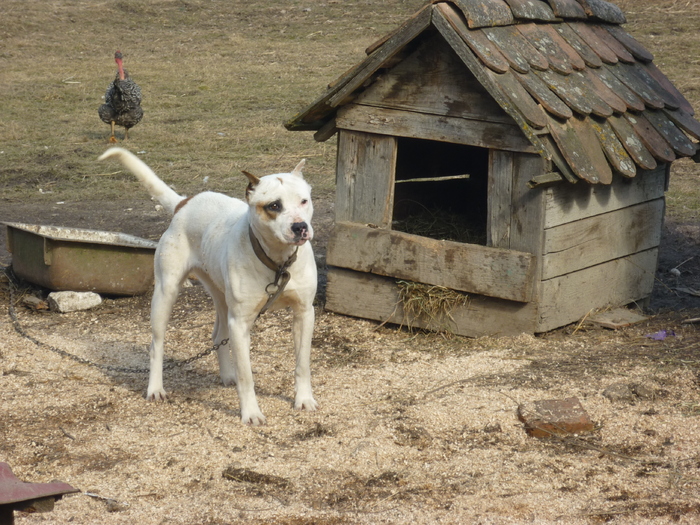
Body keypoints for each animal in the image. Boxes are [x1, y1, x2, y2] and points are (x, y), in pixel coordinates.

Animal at [98, 147, 318, 426]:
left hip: (221, 298)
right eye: (274, 206)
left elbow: (303, 364)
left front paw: (304, 399)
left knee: (217, 335)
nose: (300, 227)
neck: (278, 262)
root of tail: (184, 202)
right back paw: (155, 388)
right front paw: (251, 412)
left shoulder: (304, 314)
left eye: (304, 201)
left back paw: (226, 376)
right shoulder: (241, 323)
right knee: (156, 345)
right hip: (165, 294)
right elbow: (247, 376)